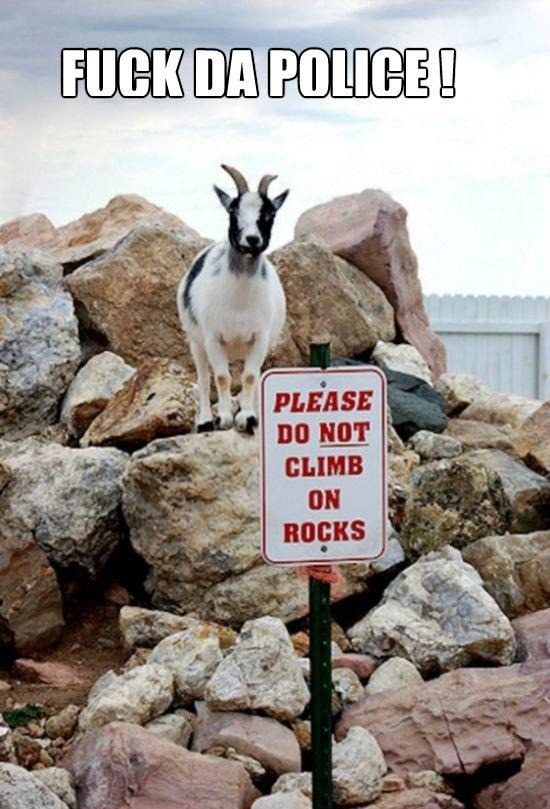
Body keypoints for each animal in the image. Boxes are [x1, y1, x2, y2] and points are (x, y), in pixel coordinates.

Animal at [177, 164, 289, 434]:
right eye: (233, 211)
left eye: (270, 213)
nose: (252, 239)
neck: (239, 301)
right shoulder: (213, 337)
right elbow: (221, 377)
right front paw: (225, 418)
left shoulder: (259, 338)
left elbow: (249, 376)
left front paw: (247, 417)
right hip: (195, 341)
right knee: (203, 379)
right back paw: (205, 420)